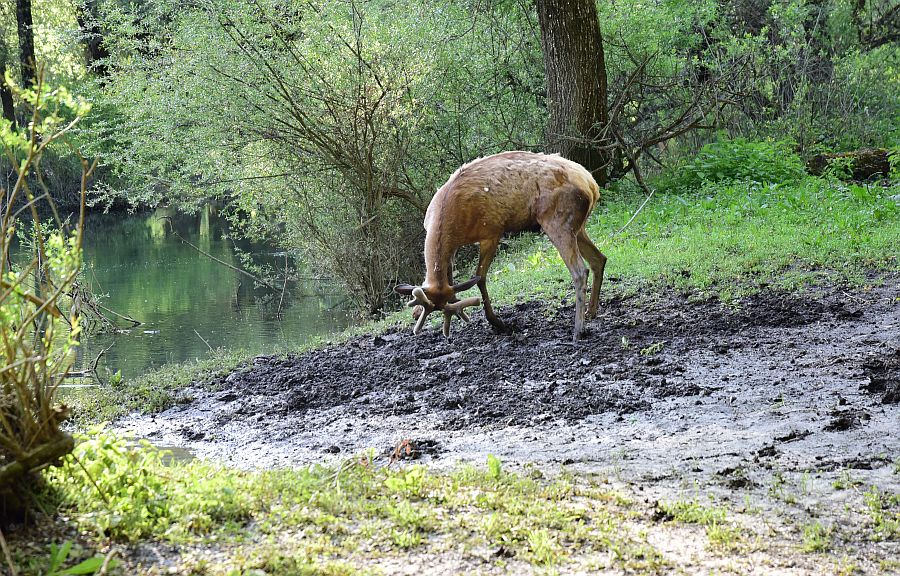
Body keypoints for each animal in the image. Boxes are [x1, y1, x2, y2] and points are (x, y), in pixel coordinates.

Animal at [392, 153, 604, 342]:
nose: (416, 313)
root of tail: (592, 185)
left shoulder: (491, 232)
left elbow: (480, 277)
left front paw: (497, 322)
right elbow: (451, 279)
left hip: (557, 220)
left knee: (579, 271)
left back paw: (578, 330)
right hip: (578, 227)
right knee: (599, 259)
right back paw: (591, 311)